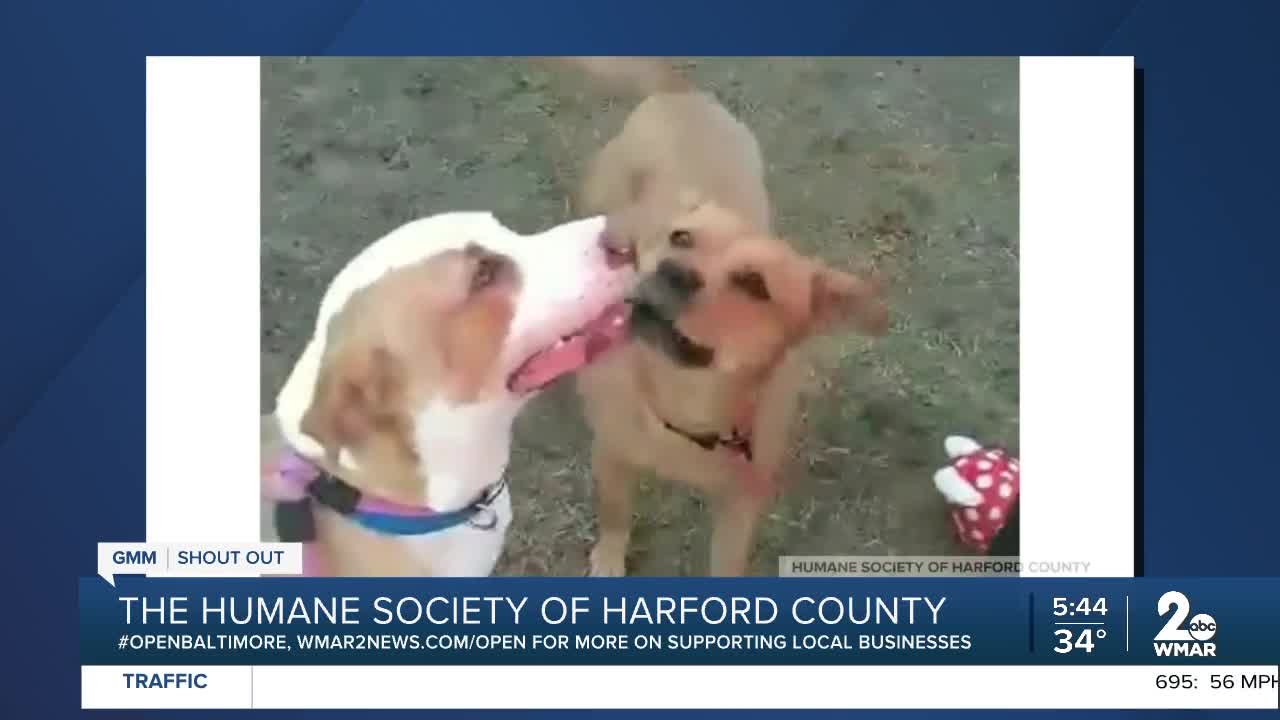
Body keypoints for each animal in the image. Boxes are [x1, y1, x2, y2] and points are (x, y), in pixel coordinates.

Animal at [563, 58, 890, 573]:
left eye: (754, 283)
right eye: (680, 239)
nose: (671, 272)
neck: (683, 407)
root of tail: (682, 91)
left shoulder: (743, 503)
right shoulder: (612, 459)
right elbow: (614, 515)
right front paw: (610, 560)